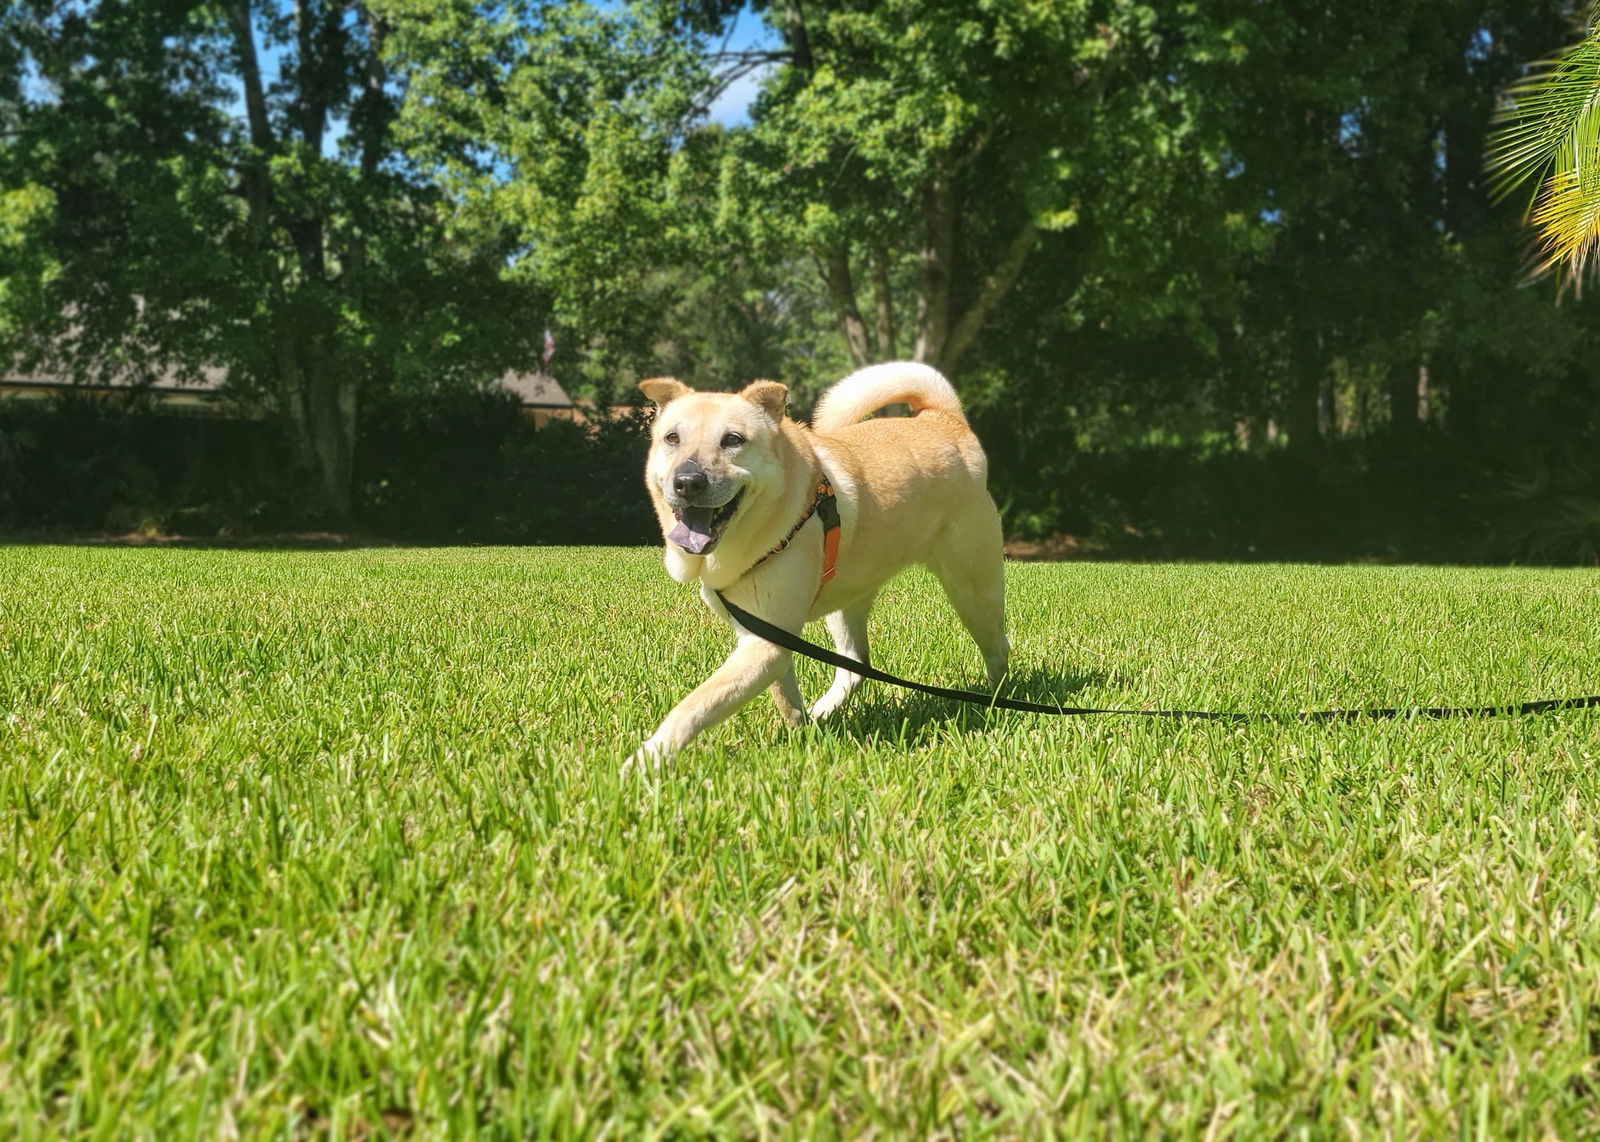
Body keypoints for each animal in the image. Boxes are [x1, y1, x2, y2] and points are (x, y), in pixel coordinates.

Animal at [627, 359, 1011, 761]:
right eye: (672, 438)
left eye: (733, 440)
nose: (688, 481)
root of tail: (942, 418)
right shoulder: (766, 636)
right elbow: (785, 697)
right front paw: (801, 732)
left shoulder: (765, 643)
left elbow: (695, 705)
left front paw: (647, 759)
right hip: (847, 601)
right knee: (856, 666)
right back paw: (824, 711)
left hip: (973, 590)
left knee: (998, 648)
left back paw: (996, 702)